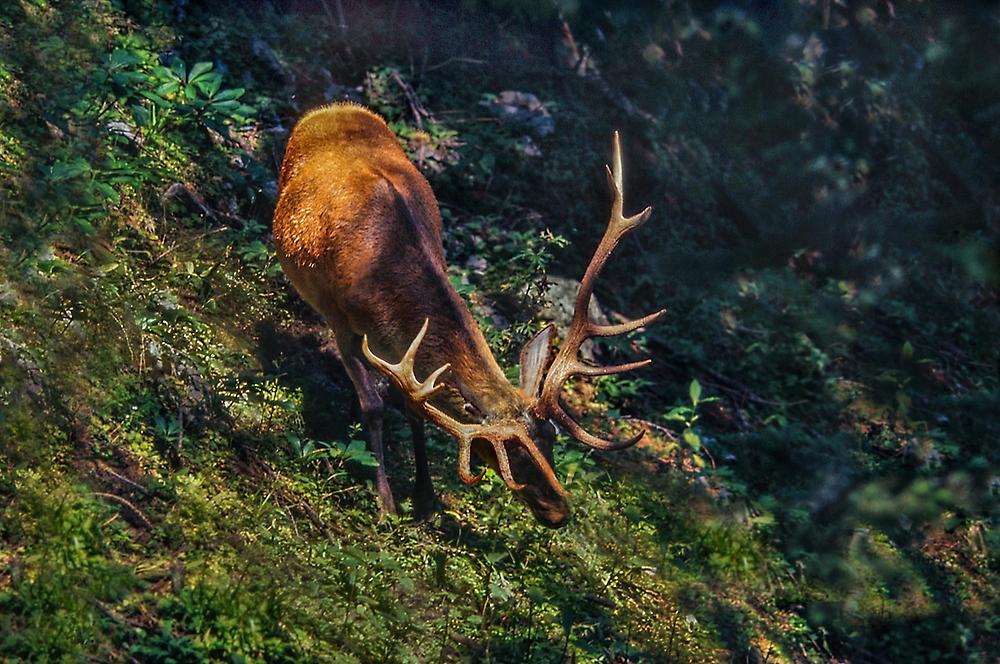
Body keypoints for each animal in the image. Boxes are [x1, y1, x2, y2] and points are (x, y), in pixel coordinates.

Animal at [276, 102, 664, 528]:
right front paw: (386, 504)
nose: (560, 513)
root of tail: (330, 108)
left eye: (551, 439)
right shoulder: (340, 317)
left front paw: (425, 498)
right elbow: (375, 406)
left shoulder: (400, 354)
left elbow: (415, 408)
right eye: (509, 455)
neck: (381, 284)